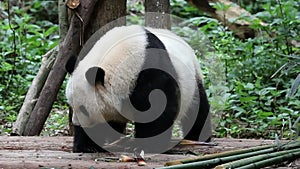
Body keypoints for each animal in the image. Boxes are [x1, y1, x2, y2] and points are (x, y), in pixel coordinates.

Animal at [65, 25, 211, 153]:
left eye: (84, 109)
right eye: (71, 105)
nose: (76, 123)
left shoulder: (151, 69)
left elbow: (158, 109)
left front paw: (147, 145)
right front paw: (87, 146)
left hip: (193, 79)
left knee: (197, 109)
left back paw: (197, 137)